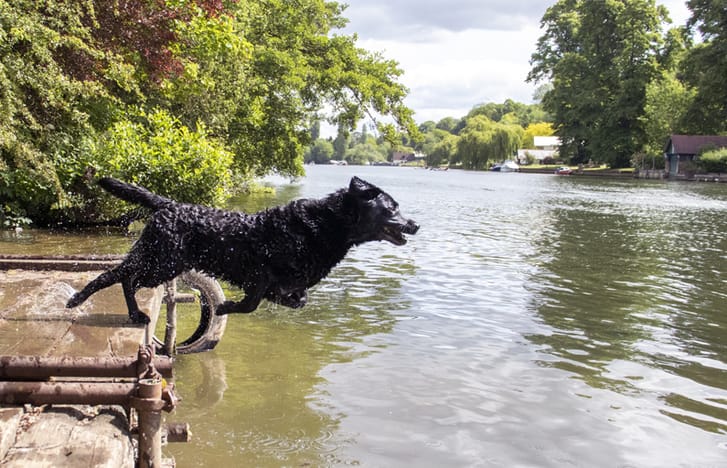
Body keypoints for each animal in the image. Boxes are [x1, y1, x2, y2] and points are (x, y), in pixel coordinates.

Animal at [69, 176, 420, 322]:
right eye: (392, 207)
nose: (415, 224)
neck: (325, 227)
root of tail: (170, 205)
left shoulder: (284, 282)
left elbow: (298, 300)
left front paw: (280, 300)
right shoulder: (259, 274)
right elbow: (250, 304)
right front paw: (225, 307)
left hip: (162, 262)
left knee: (125, 277)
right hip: (159, 262)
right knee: (117, 275)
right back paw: (84, 301)